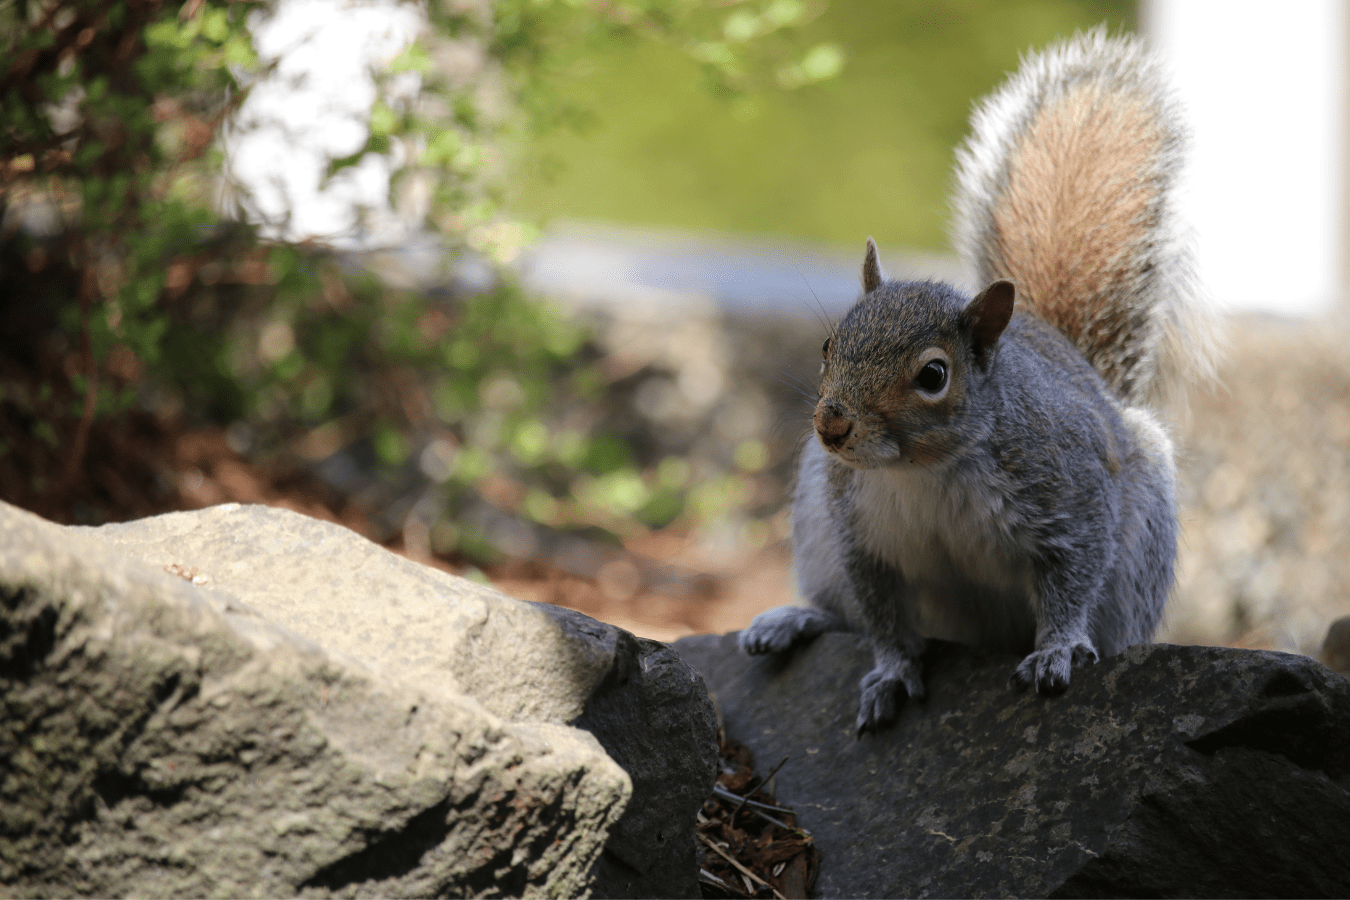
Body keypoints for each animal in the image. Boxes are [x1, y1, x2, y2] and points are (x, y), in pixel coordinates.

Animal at [745, 28, 1220, 734]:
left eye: (933, 375)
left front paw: (1056, 650)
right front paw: (892, 671)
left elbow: (1073, 576)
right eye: (828, 346)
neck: (923, 470)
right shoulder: (856, 531)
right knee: (844, 611)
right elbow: (880, 614)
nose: (831, 424)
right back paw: (795, 617)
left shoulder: (1069, 493)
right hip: (815, 520)